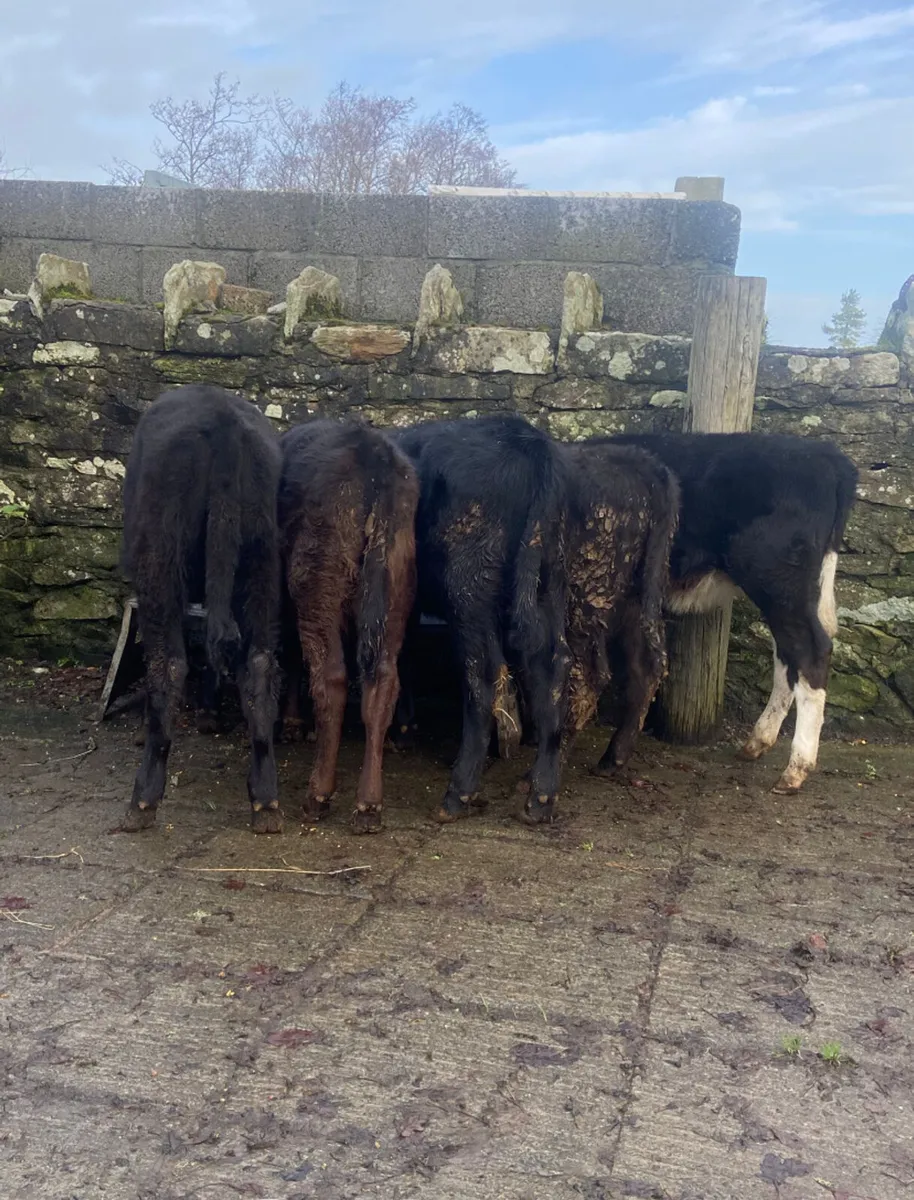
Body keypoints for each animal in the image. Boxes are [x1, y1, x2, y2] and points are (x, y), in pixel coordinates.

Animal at [120, 385, 283, 833]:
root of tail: (223, 419)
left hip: (161, 562)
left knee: (169, 665)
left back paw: (143, 799)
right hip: (261, 561)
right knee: (257, 664)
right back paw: (265, 800)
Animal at [278, 419, 418, 833]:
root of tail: (375, 454)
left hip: (315, 589)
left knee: (332, 679)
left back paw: (318, 794)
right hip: (395, 592)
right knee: (382, 682)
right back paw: (369, 803)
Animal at [394, 414, 572, 825]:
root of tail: (522, 433)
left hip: (468, 589)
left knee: (483, 675)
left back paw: (458, 794)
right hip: (547, 583)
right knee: (551, 666)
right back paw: (540, 796)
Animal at [608, 431, 858, 792]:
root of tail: (827, 455)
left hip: (777, 578)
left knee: (812, 651)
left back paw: (795, 769)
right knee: (788, 654)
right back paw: (759, 741)